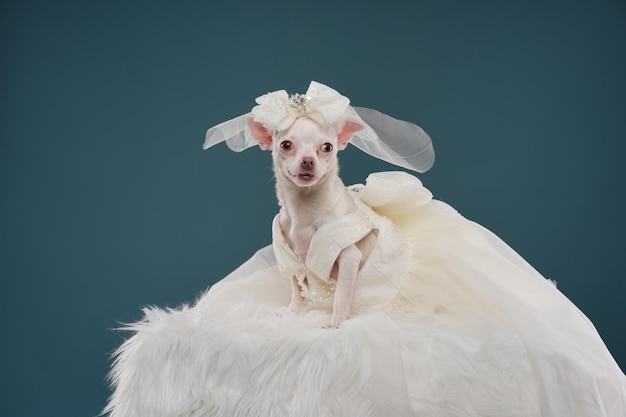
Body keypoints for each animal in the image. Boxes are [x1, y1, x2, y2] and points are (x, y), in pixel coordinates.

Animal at [247, 115, 376, 326]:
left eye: (327, 147)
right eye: (286, 145)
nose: (308, 160)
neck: (305, 208)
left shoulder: (349, 258)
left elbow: (341, 295)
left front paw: (335, 323)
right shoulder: (291, 258)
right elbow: (298, 290)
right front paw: (291, 313)